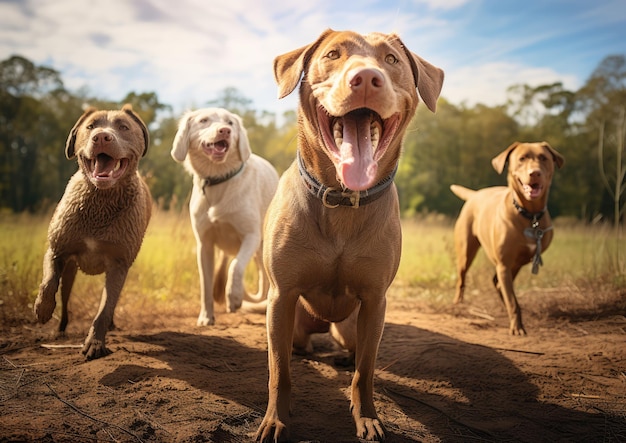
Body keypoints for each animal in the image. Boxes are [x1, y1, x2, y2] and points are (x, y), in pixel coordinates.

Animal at [33, 104, 151, 360]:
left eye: (123, 127)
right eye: (90, 127)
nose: (102, 137)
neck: (100, 202)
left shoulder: (119, 264)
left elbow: (104, 309)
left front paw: (95, 343)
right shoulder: (57, 249)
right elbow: (48, 282)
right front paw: (42, 309)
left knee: (111, 302)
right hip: (70, 271)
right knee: (64, 297)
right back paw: (59, 329)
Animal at [171, 107, 278, 326]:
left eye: (230, 123)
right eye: (204, 120)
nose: (224, 131)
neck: (219, 179)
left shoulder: (251, 236)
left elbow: (236, 266)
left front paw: (234, 298)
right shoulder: (204, 244)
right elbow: (206, 284)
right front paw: (206, 317)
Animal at [255, 29, 444, 442]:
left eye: (391, 59)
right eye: (332, 54)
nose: (367, 78)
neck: (342, 200)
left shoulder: (375, 302)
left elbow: (366, 372)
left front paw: (368, 417)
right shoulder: (281, 297)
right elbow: (279, 372)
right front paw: (275, 419)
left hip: (349, 326)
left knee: (354, 350)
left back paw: (344, 356)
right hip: (295, 322)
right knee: (296, 347)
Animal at [448, 142, 564, 336]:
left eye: (543, 158)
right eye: (522, 158)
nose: (535, 172)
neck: (529, 214)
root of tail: (476, 194)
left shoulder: (513, 262)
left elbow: (509, 295)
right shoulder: (504, 264)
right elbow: (512, 301)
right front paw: (517, 327)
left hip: (514, 264)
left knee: (497, 283)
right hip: (466, 251)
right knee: (462, 279)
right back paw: (457, 302)